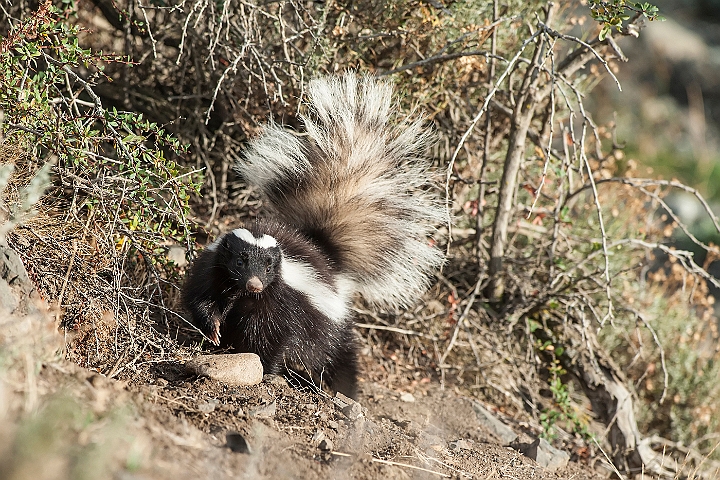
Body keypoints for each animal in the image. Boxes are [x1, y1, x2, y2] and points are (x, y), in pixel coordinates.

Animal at [184, 74, 444, 398]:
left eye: (268, 267)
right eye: (240, 261)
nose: (255, 284)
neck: (242, 293)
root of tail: (328, 258)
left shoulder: (283, 304)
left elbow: (274, 339)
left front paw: (266, 371)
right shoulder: (214, 270)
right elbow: (202, 300)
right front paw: (213, 331)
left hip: (330, 322)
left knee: (339, 355)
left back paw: (345, 389)